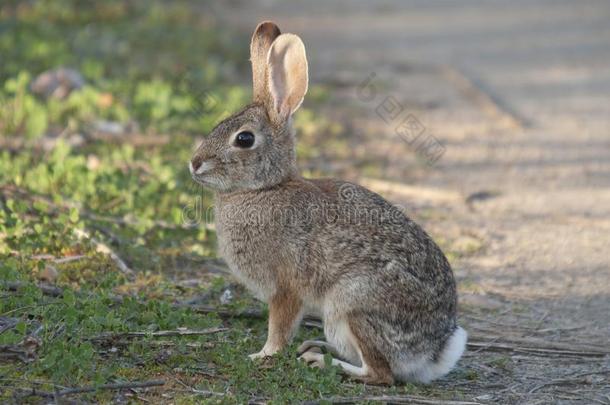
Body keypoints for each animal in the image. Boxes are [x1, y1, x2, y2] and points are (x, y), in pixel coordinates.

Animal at [190, 20, 466, 384]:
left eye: (244, 139)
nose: (194, 163)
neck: (265, 188)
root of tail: (433, 351)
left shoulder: (286, 288)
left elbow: (279, 327)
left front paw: (262, 355)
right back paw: (316, 347)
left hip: (351, 303)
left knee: (381, 373)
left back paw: (321, 362)